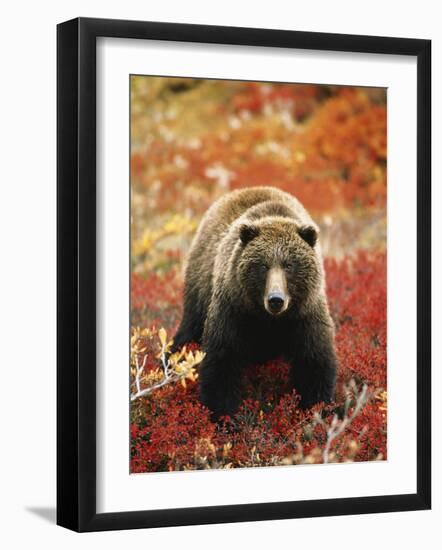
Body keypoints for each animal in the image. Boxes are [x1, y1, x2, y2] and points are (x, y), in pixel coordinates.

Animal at [174, 188, 338, 420]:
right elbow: (221, 363)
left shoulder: (305, 315)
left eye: (289, 265)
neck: (268, 319)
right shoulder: (234, 310)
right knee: (189, 330)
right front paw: (224, 416)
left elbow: (314, 363)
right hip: (199, 288)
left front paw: (316, 411)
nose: (276, 299)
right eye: (263, 265)